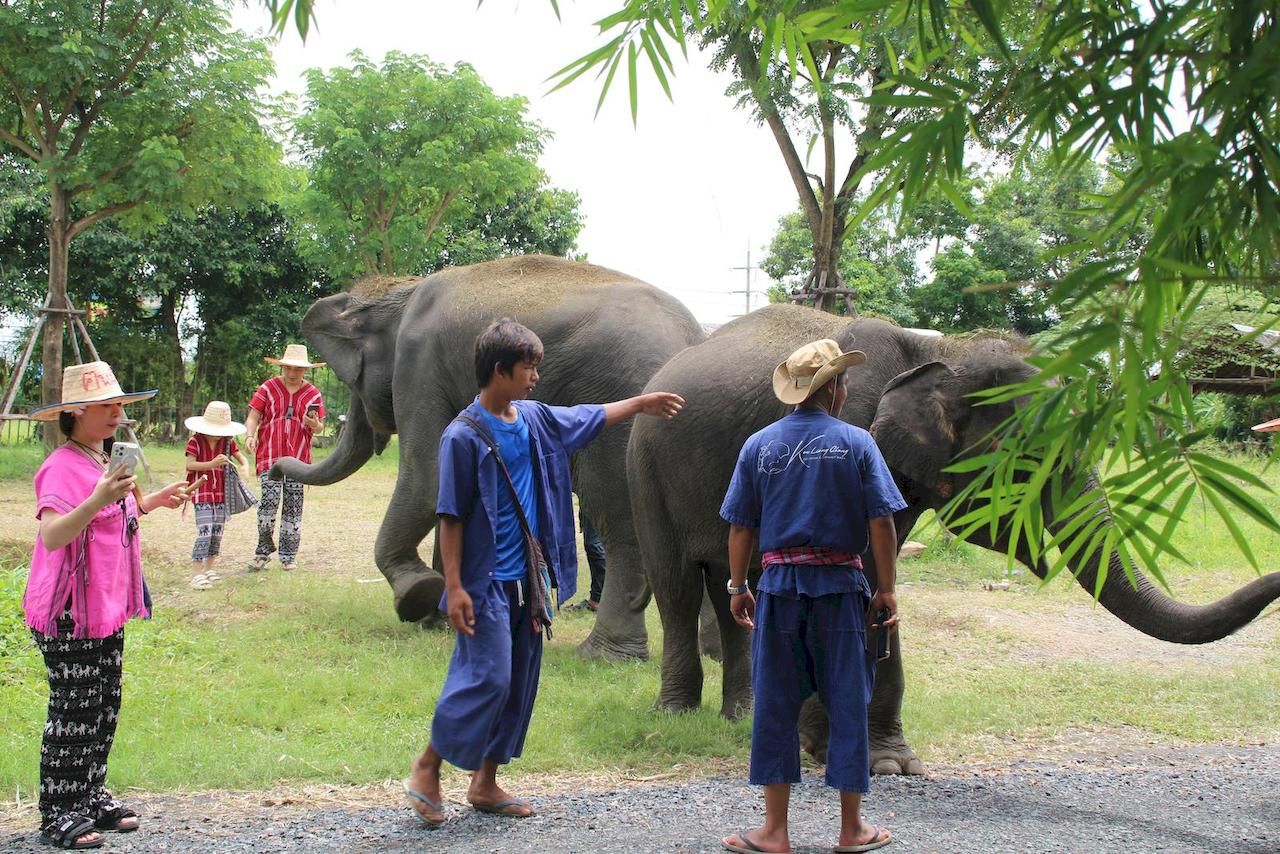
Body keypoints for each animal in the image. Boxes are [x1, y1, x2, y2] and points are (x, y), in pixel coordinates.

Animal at [273, 253, 706, 660]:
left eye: (349, 382)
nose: (275, 467)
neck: (400, 291)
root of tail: (692, 338)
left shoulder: (418, 367)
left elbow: (427, 479)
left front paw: (417, 596)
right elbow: (452, 489)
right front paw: (442, 620)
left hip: (620, 407)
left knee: (617, 519)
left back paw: (603, 655)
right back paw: (709, 652)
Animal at [627, 306, 1280, 773]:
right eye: (1034, 457)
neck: (944, 351)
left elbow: (879, 576)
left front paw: (875, 758)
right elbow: (863, 575)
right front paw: (869, 760)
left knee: (728, 593)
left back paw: (742, 721)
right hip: (646, 465)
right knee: (678, 587)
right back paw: (678, 714)